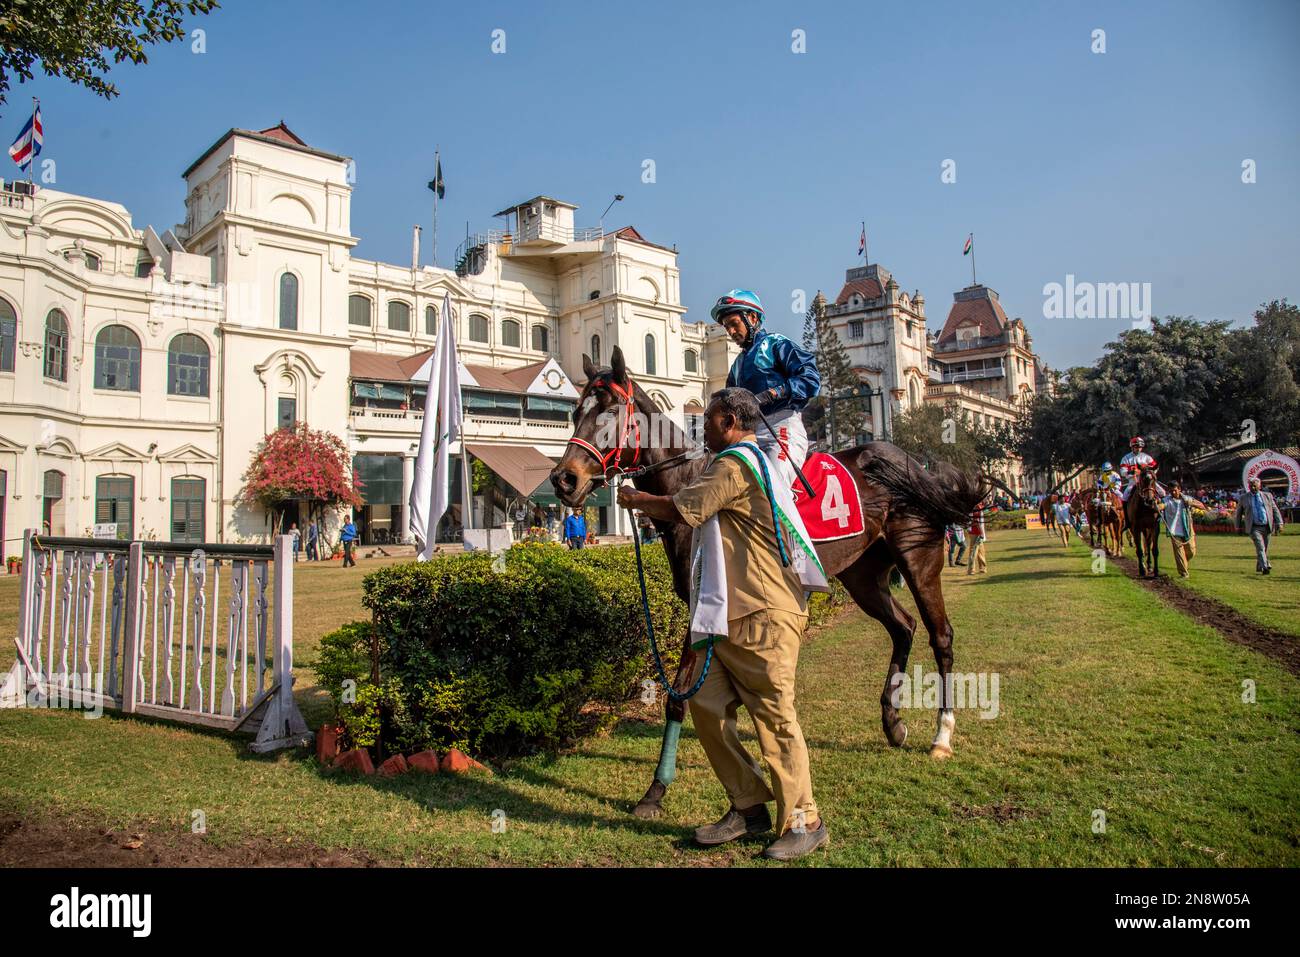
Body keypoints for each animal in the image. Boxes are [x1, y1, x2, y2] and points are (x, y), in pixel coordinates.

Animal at [543, 348, 987, 816]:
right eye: (576, 411)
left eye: (610, 412)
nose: (564, 479)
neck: (690, 487)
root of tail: (908, 462)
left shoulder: (706, 604)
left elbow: (680, 695)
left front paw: (656, 789)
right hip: (864, 575)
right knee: (903, 627)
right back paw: (893, 722)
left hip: (919, 561)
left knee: (940, 635)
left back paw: (942, 734)